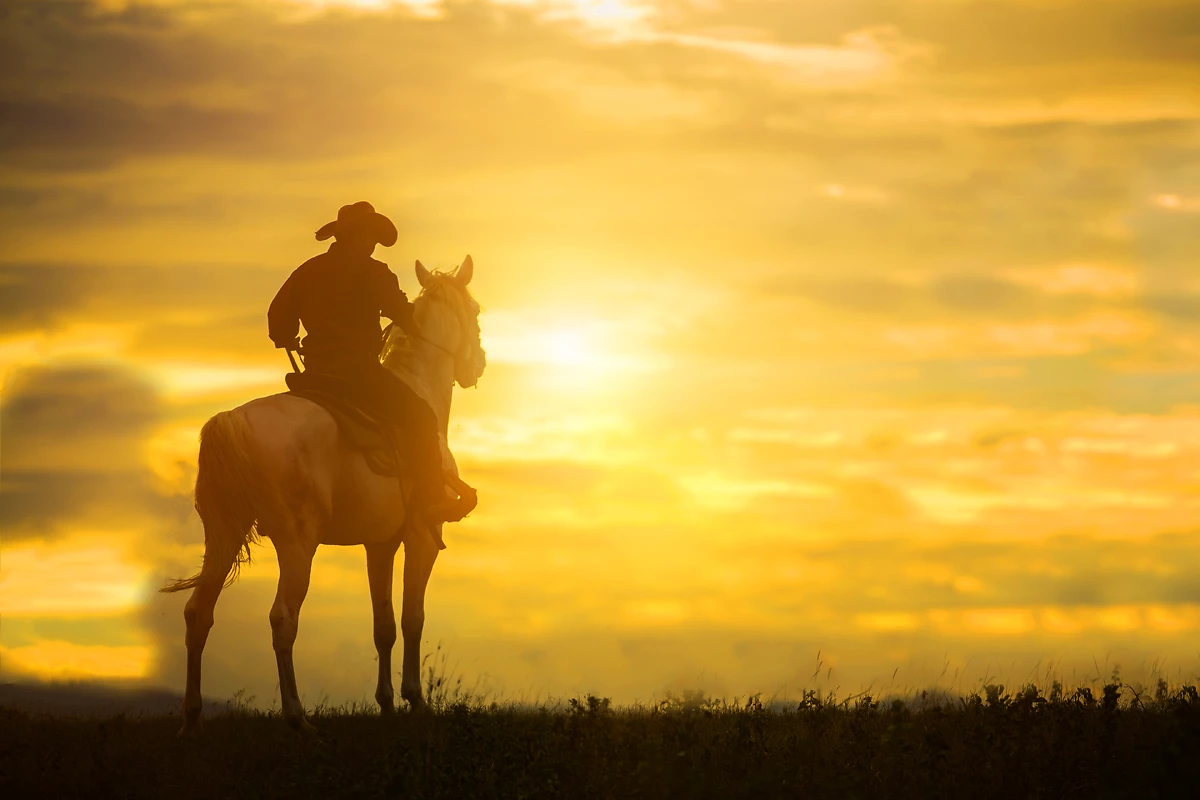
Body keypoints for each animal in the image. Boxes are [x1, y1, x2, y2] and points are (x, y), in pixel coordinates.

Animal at [161, 257, 486, 734]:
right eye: (476, 310)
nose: (476, 366)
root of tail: (232, 420)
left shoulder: (380, 544)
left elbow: (383, 625)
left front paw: (386, 704)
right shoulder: (422, 539)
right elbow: (413, 619)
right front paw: (415, 700)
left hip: (222, 536)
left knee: (197, 613)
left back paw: (190, 718)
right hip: (297, 545)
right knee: (282, 618)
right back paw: (297, 717)